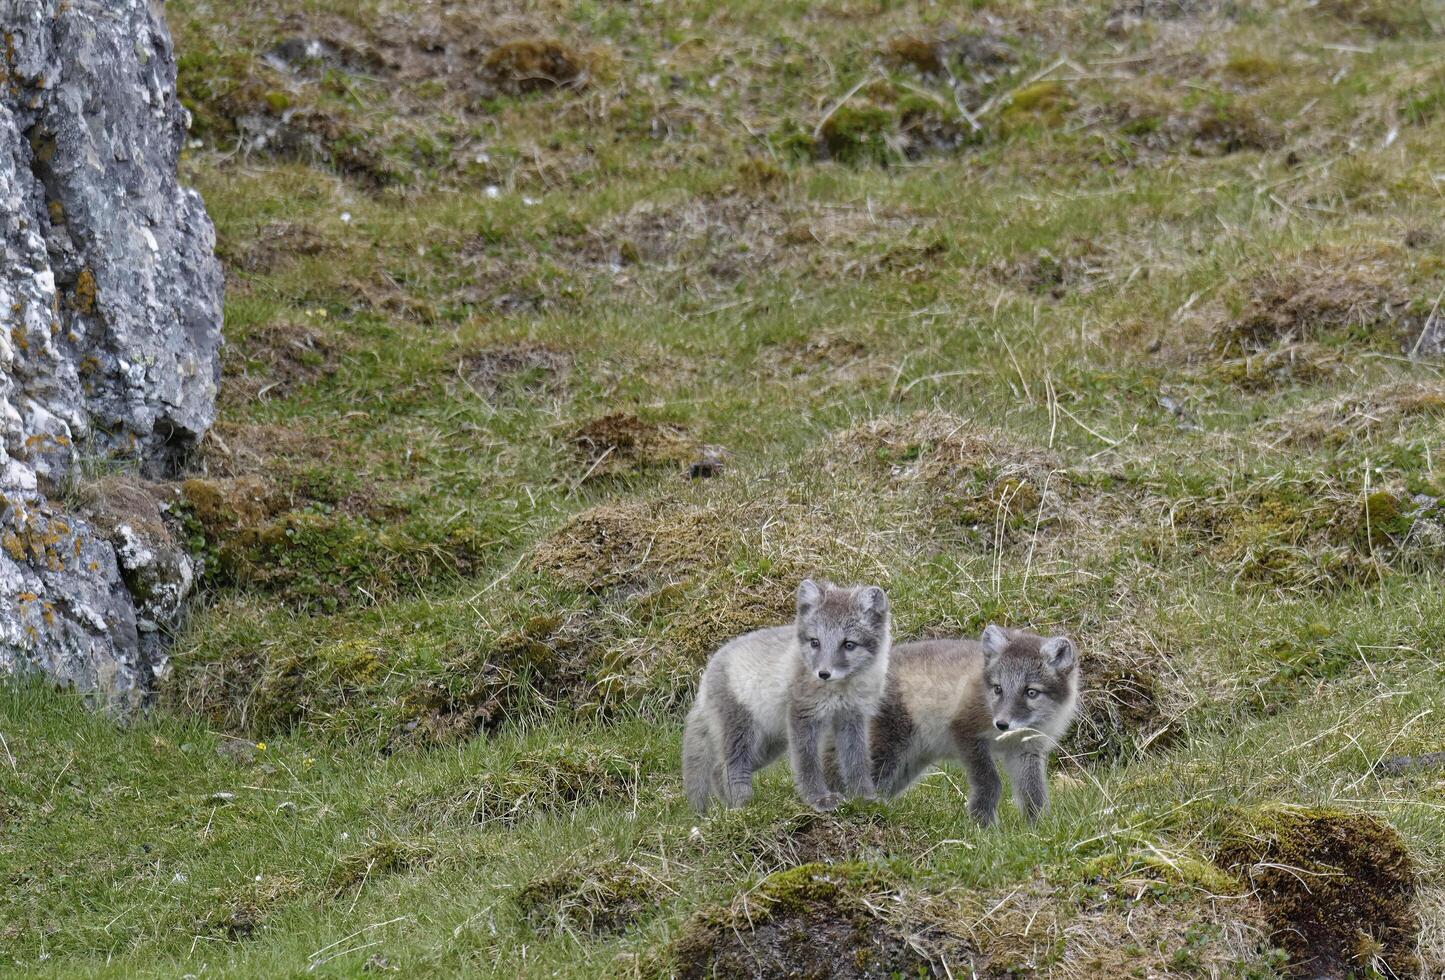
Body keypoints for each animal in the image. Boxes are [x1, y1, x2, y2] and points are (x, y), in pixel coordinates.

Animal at [679, 581, 890, 815]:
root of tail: (707, 673)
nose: (823, 673)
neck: (841, 689)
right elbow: (807, 763)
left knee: (717, 769)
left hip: (770, 744)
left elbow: (857, 761)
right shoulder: (803, 715)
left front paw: (865, 798)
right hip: (742, 732)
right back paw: (745, 806)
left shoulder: (852, 718)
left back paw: (732, 807)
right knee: (730, 767)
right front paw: (819, 799)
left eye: (849, 644)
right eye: (815, 642)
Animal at [861, 624, 1080, 826]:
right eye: (998, 688)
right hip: (891, 745)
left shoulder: (1027, 749)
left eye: (1031, 692)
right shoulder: (966, 732)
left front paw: (1037, 826)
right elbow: (990, 781)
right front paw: (983, 825)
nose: (1001, 724)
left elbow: (1034, 792)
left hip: (909, 763)